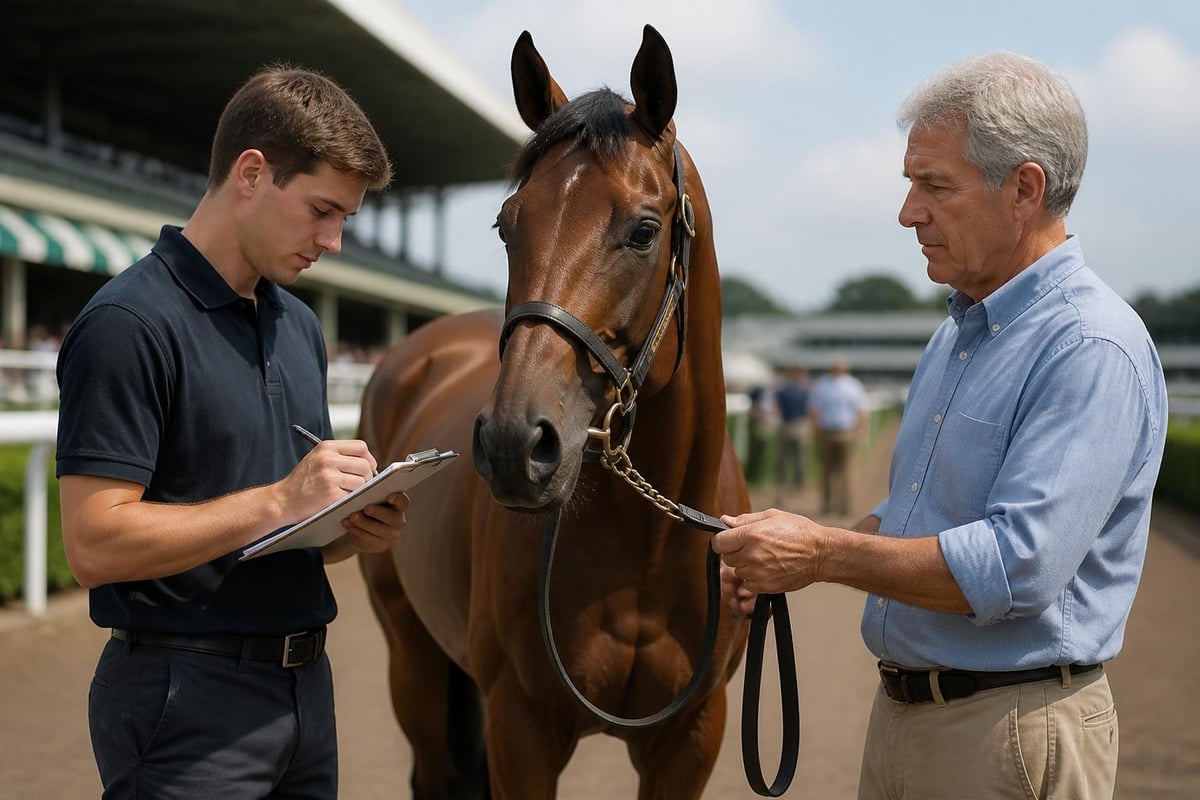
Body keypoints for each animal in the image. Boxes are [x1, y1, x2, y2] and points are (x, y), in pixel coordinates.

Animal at [357, 25, 751, 799]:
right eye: (507, 226)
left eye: (644, 230)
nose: (516, 444)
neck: (646, 548)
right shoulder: (524, 727)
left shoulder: (692, 736)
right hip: (409, 651)